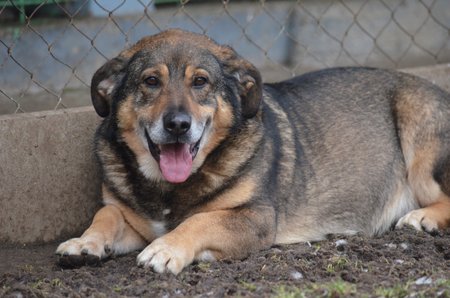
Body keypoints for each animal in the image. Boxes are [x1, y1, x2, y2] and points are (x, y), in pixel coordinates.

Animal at [55, 29, 450, 274]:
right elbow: (106, 215)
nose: (178, 124)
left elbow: (200, 220)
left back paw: (421, 218)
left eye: (200, 82)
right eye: (150, 81)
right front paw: (84, 242)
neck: (168, 189)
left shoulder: (257, 218)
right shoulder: (128, 215)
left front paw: (167, 249)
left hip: (419, 135)